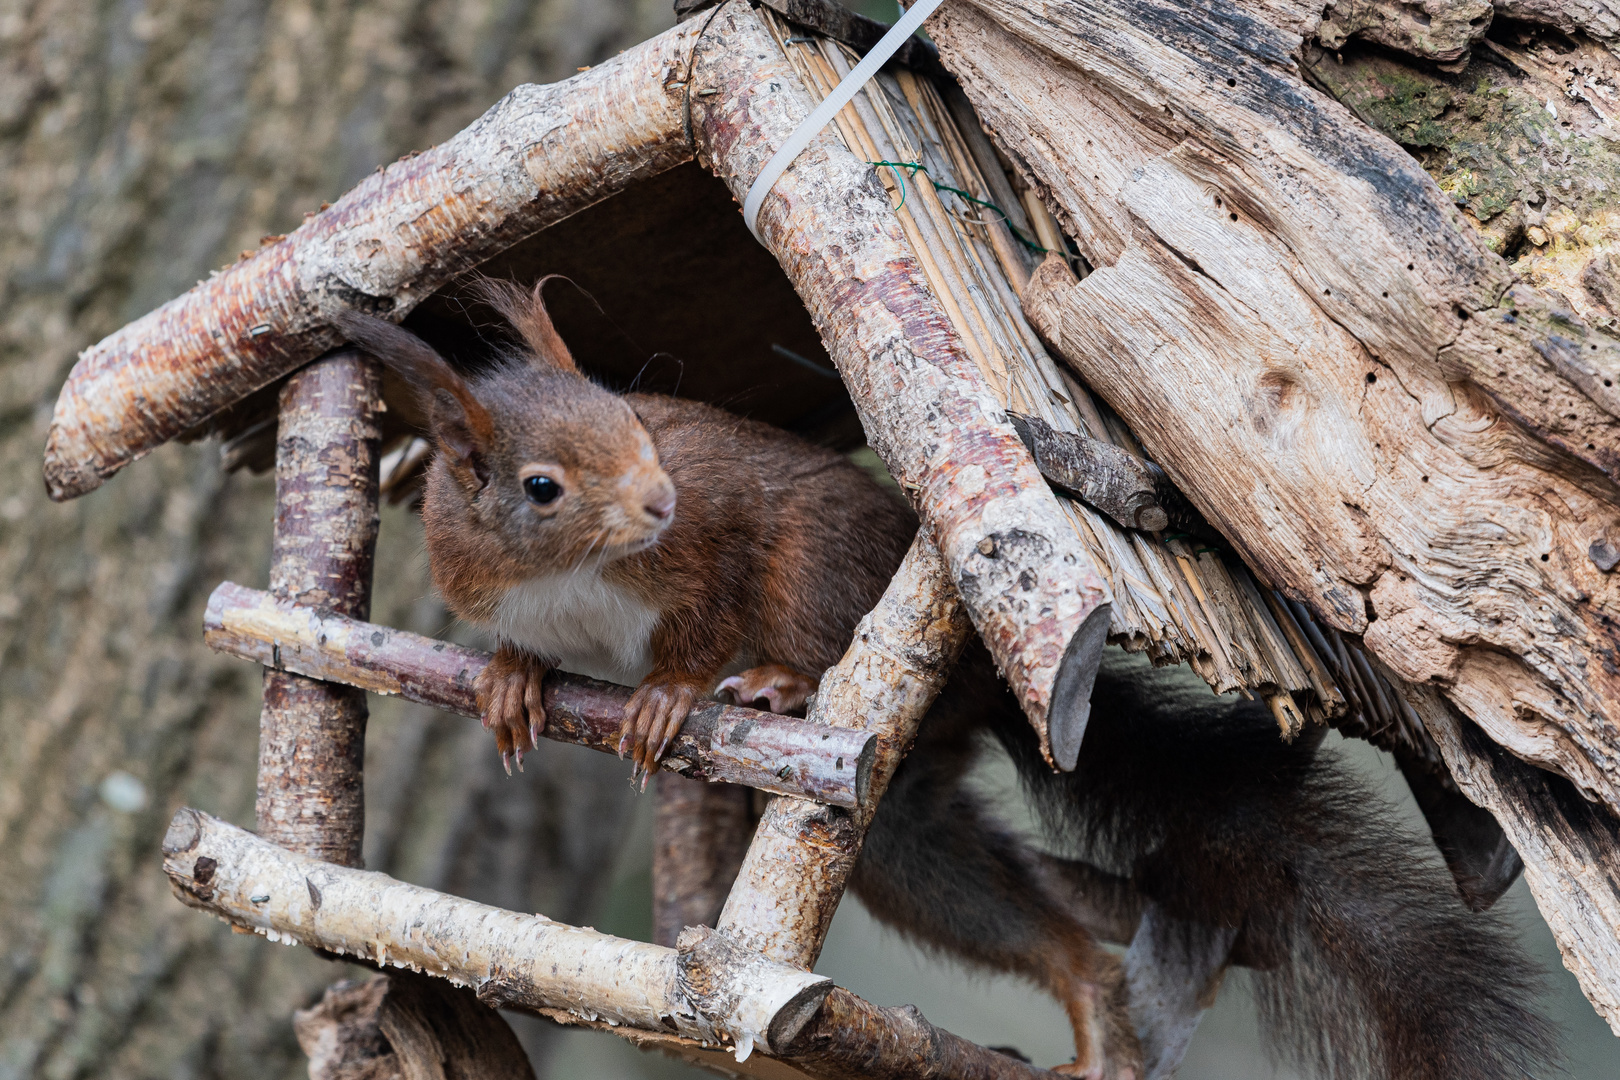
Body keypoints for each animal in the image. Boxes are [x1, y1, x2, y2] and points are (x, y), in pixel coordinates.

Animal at [332, 284, 1555, 1080]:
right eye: (540, 485)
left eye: (636, 417)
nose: (657, 499)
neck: (568, 577)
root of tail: (979, 678)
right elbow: (517, 647)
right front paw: (512, 676)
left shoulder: (719, 539)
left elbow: (707, 613)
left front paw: (671, 692)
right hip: (910, 816)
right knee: (1015, 903)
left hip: (828, 569)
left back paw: (780, 688)